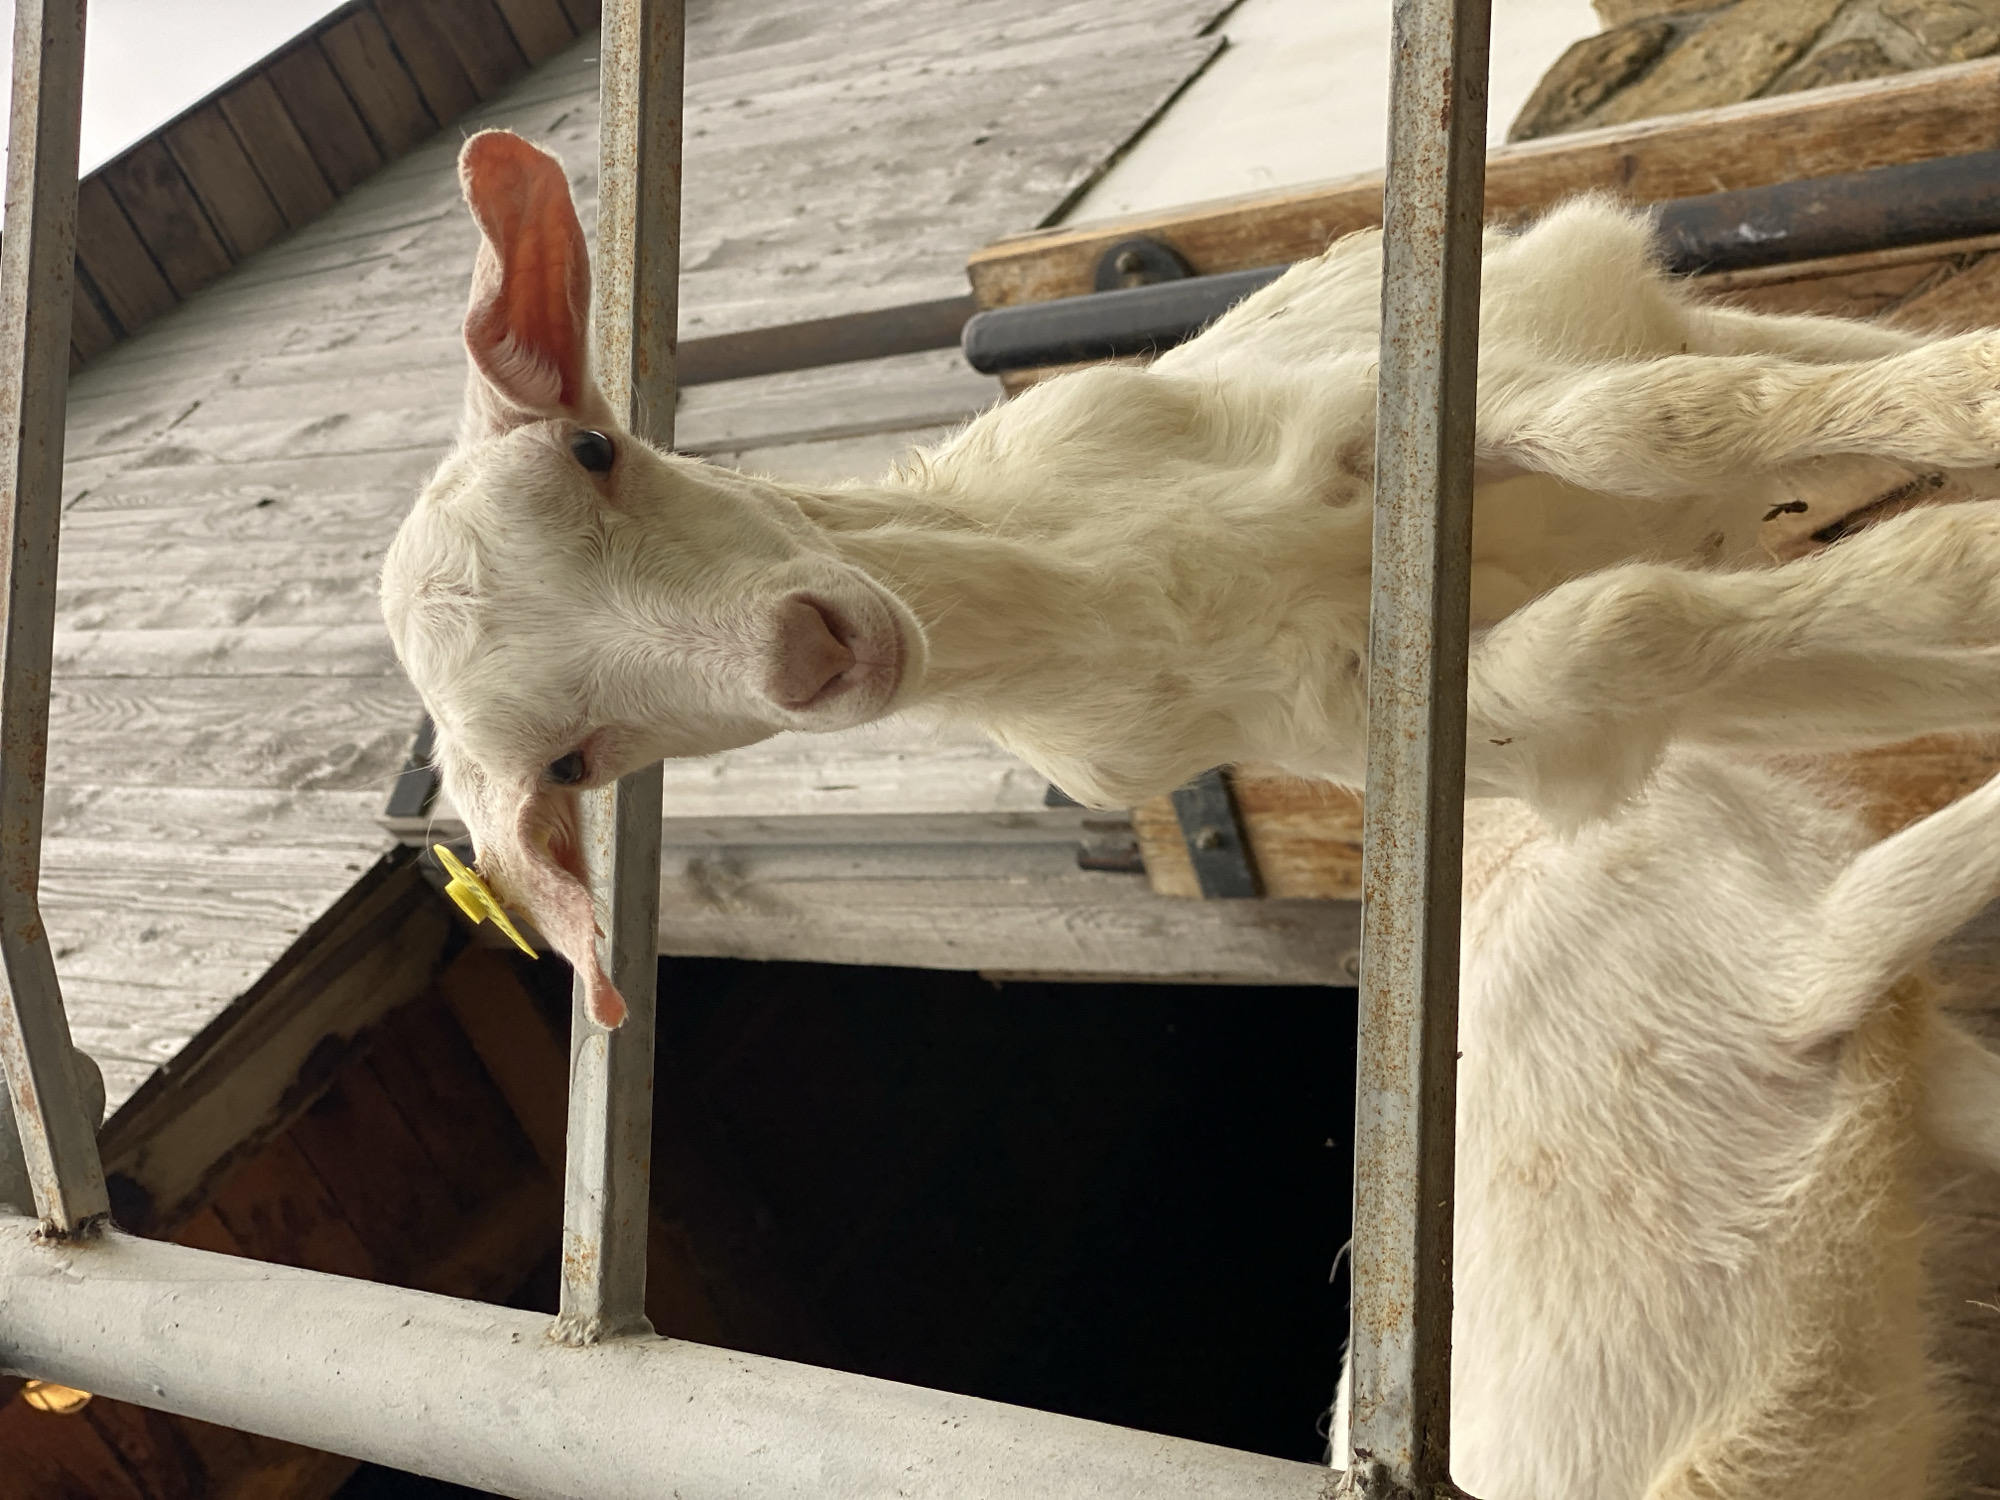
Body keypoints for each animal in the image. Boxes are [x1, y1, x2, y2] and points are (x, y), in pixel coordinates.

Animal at [382, 129, 2000, 1022]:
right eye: (572, 764)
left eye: (596, 448)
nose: (806, 653)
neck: (1114, 582)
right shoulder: (1368, 714)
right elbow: (1598, 636)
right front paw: (1964, 568)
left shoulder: (1395, 406)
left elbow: (1645, 425)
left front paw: (1968, 489)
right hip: (1787, 658)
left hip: (1642, 316)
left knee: (1786, 387)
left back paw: (1949, 409)